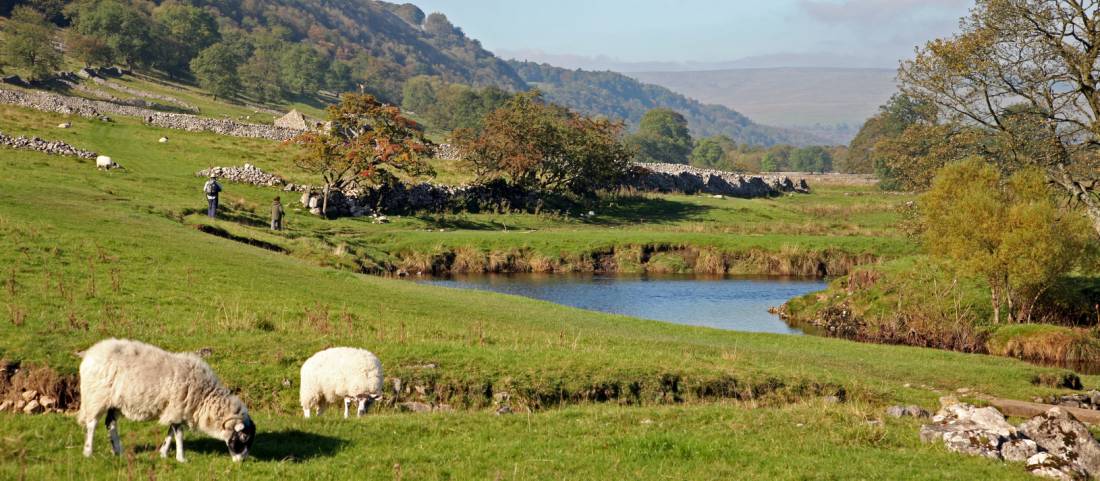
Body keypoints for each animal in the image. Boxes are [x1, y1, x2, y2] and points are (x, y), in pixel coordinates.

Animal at [78, 336, 256, 460]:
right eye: (244, 437)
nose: (243, 461)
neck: (205, 397)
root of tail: (89, 354)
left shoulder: (175, 410)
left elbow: (170, 433)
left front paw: (163, 453)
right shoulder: (178, 407)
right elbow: (179, 435)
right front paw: (181, 458)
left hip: (114, 402)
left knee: (110, 424)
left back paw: (118, 451)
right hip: (96, 396)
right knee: (92, 424)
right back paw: (88, 452)